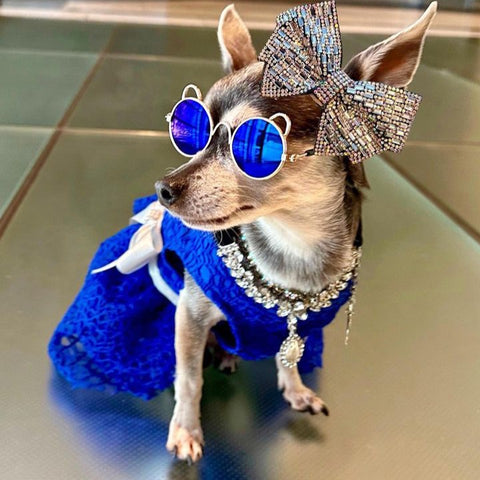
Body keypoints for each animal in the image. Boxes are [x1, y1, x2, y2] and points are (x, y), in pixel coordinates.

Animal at [156, 1, 436, 464]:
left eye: (259, 145)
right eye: (190, 129)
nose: (164, 188)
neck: (292, 243)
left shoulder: (299, 322)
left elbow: (289, 356)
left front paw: (296, 389)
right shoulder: (189, 313)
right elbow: (189, 379)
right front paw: (185, 429)